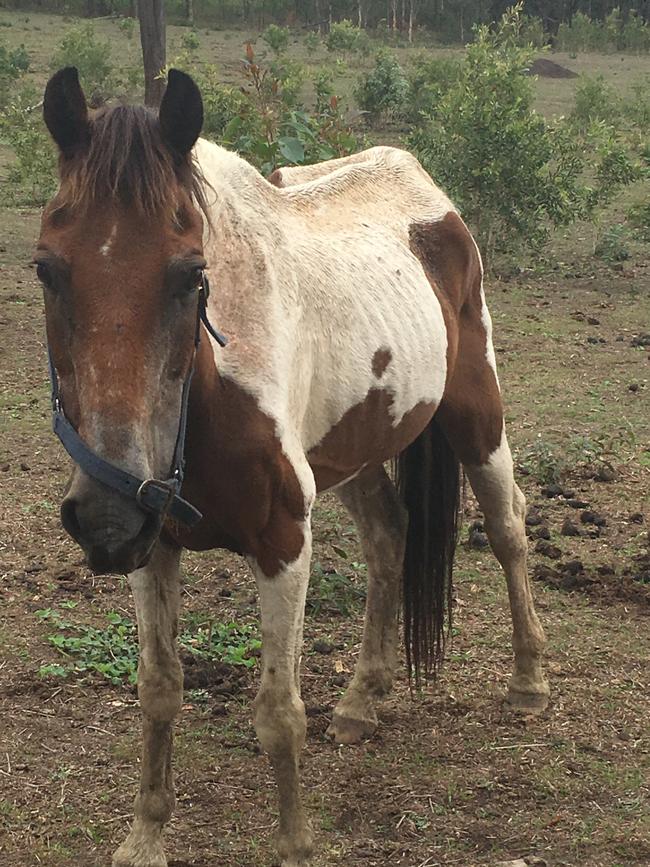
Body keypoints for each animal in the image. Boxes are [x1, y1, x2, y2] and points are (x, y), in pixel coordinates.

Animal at [36, 68, 548, 867]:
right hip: (354, 449)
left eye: (191, 274)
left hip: (476, 414)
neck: (210, 393)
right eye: (47, 269)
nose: (105, 519)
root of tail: (420, 182)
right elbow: (158, 689)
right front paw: (146, 834)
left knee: (507, 529)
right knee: (389, 538)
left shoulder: (282, 542)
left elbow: (279, 714)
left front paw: (295, 844)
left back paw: (528, 681)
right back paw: (363, 698)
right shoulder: (156, 544)